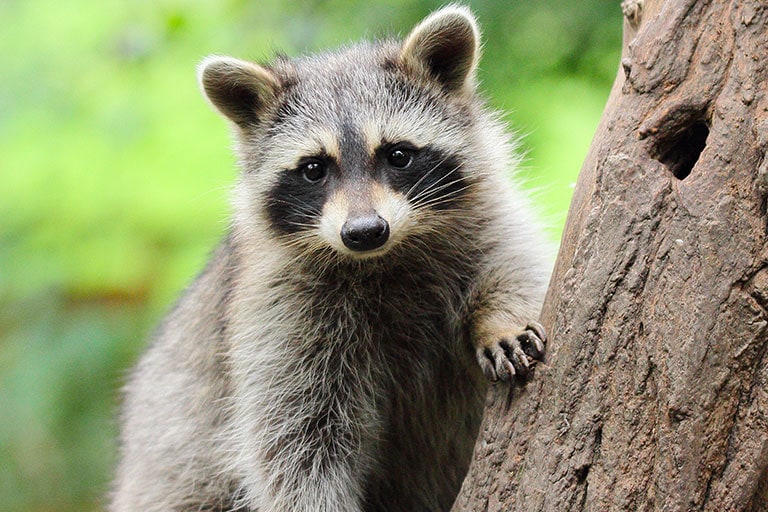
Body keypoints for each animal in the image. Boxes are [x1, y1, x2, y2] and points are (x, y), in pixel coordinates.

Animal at [111, 5, 552, 512]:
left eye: (398, 155)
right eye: (313, 169)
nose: (364, 232)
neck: (385, 257)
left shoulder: (486, 218)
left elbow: (516, 264)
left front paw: (499, 318)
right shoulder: (280, 313)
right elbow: (295, 442)